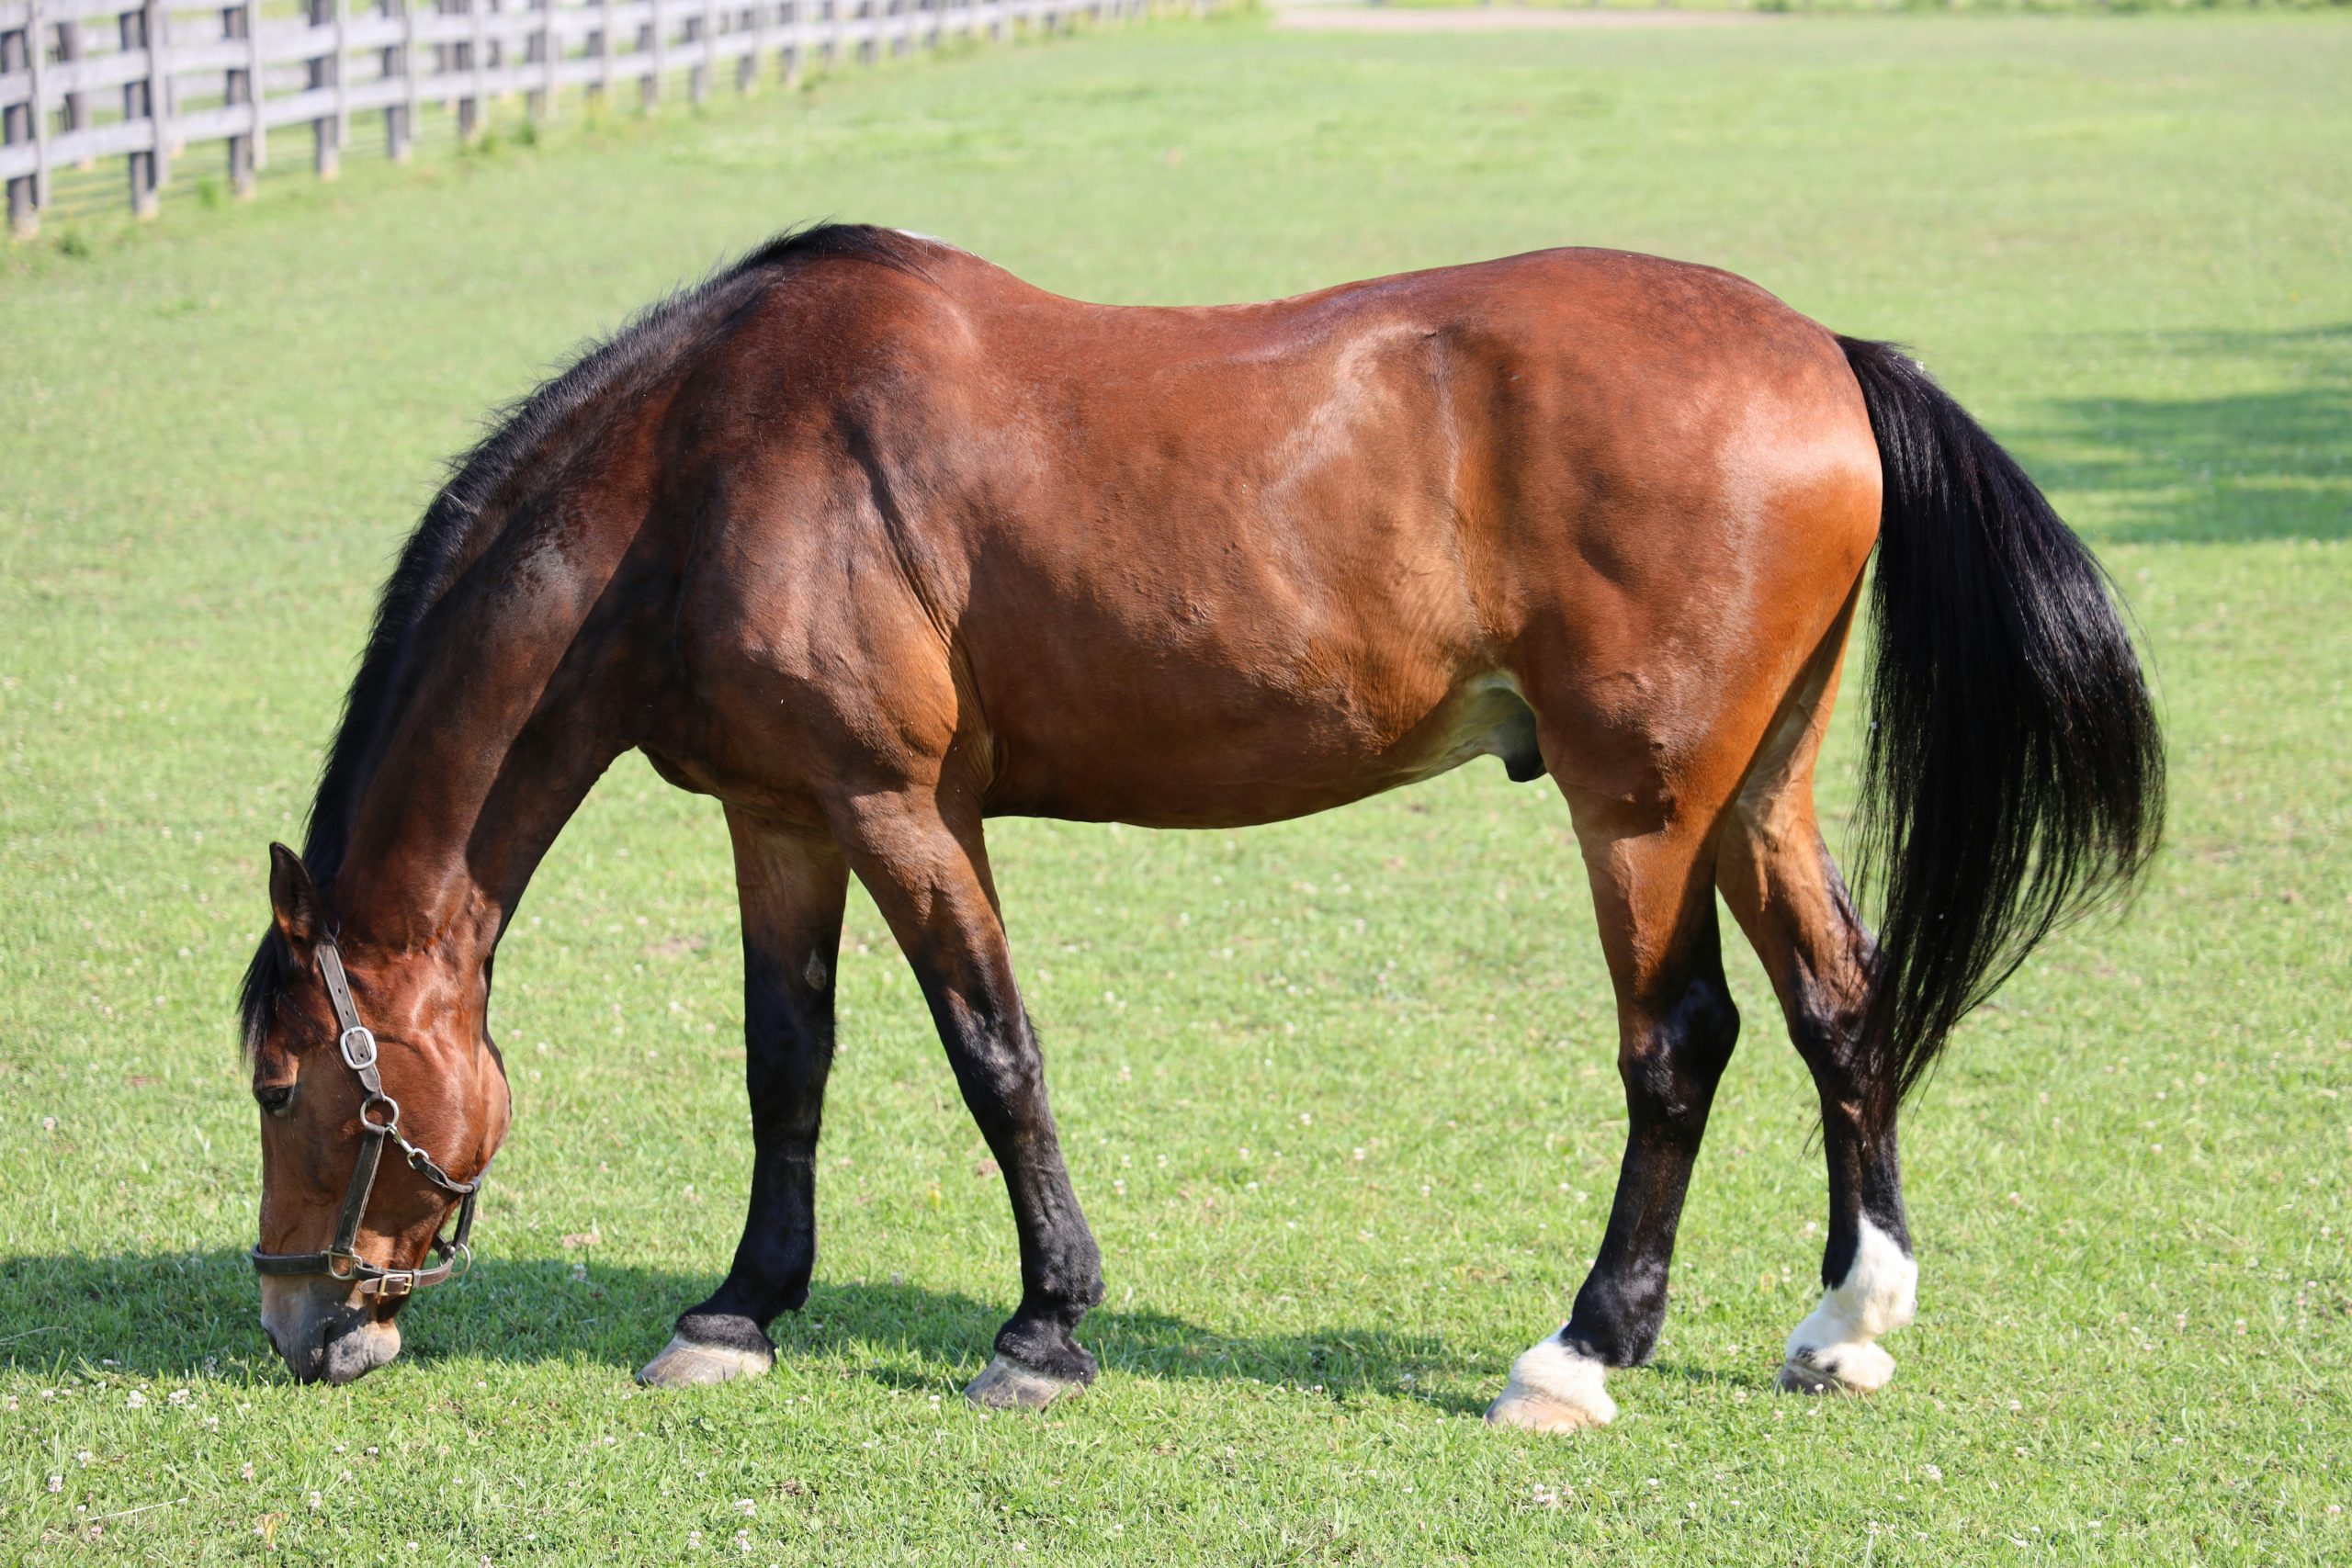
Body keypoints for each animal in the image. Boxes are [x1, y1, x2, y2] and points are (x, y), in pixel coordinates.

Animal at [240, 224, 2161, 1424]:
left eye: (282, 1083)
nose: (298, 1320)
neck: (710, 462)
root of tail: (1820, 353)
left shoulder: (901, 807)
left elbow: (992, 1052)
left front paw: (1044, 1324)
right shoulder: (782, 817)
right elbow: (788, 1061)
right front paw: (738, 1306)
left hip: (1643, 806)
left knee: (1681, 1039)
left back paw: (1583, 1348)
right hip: (1756, 791)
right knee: (1845, 1004)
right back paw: (1849, 1317)